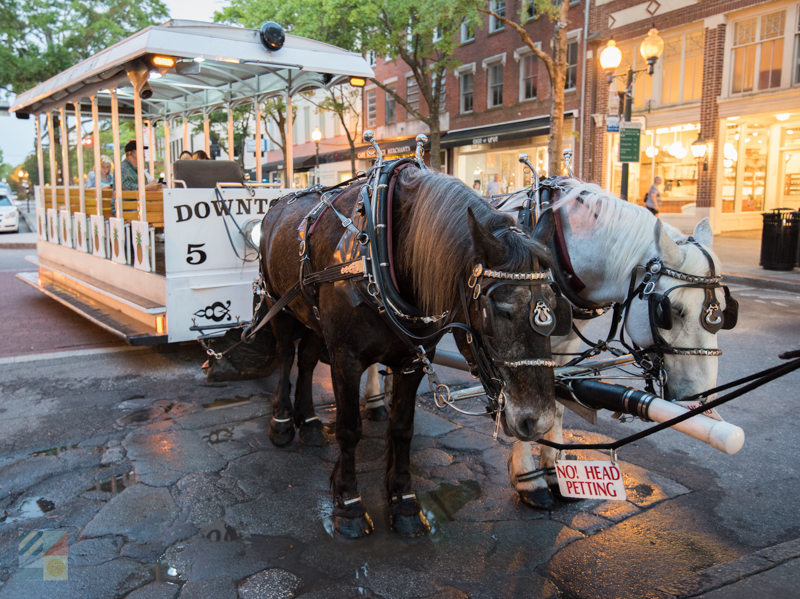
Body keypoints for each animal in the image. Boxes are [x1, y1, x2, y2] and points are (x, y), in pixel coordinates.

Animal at [260, 168, 560, 540]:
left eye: (555, 305)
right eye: (500, 310)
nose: (539, 421)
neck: (380, 252)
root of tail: (279, 203)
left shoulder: (414, 359)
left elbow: (402, 429)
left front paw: (403, 502)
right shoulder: (345, 358)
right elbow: (349, 429)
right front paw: (349, 505)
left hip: (311, 317)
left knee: (306, 362)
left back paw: (311, 424)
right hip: (278, 306)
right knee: (288, 356)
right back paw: (283, 423)